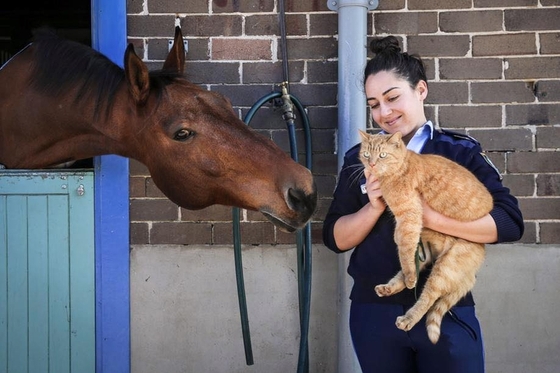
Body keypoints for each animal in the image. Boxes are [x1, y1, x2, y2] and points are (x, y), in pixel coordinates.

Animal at [358, 131, 494, 342]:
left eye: (382, 155)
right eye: (366, 154)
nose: (371, 164)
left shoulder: (409, 216)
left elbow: (404, 251)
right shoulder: (408, 226)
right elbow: (403, 250)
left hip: (444, 268)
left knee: (427, 298)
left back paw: (408, 318)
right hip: (424, 252)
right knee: (410, 272)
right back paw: (389, 288)